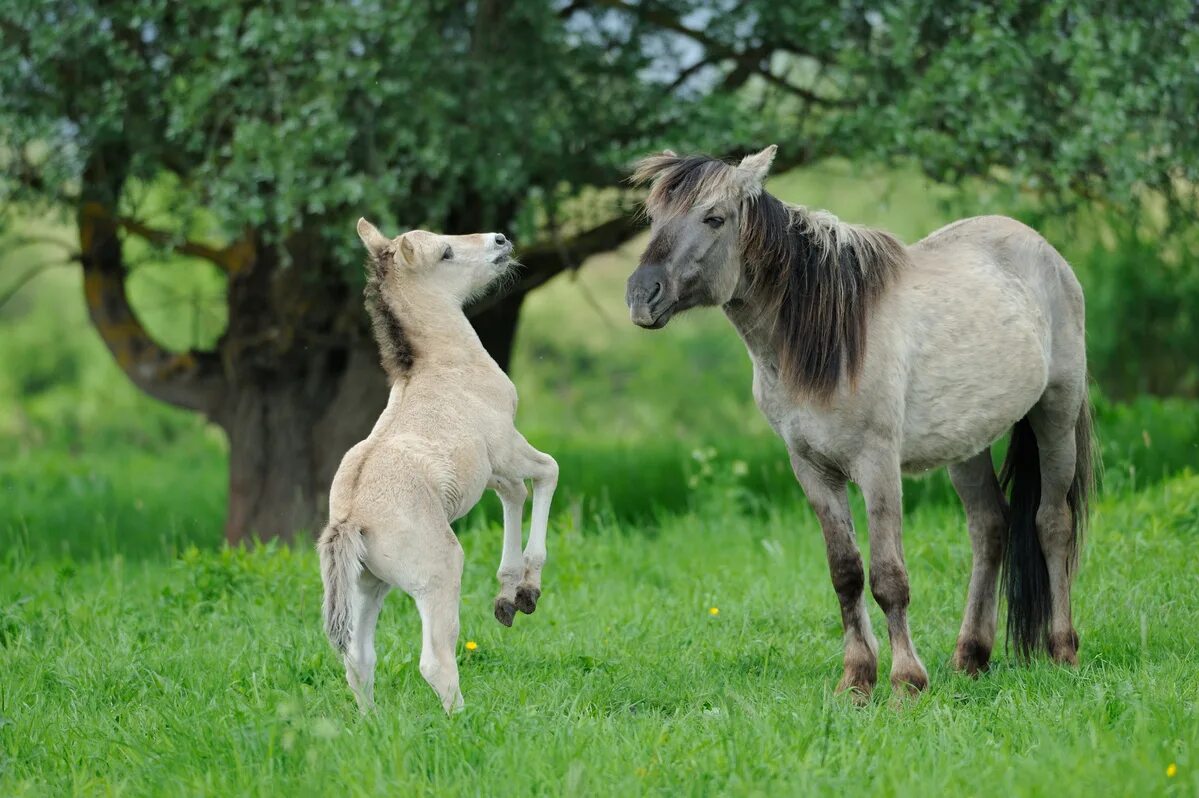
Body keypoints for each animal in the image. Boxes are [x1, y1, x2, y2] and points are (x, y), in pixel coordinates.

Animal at [321, 218, 558, 709]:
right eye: (445, 253)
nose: (500, 241)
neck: (442, 366)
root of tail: (351, 521)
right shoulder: (507, 448)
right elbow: (547, 473)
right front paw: (527, 591)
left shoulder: (492, 471)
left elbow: (515, 494)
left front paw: (508, 595)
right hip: (439, 574)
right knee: (435, 661)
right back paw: (467, 719)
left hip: (368, 586)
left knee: (358, 659)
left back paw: (372, 722)